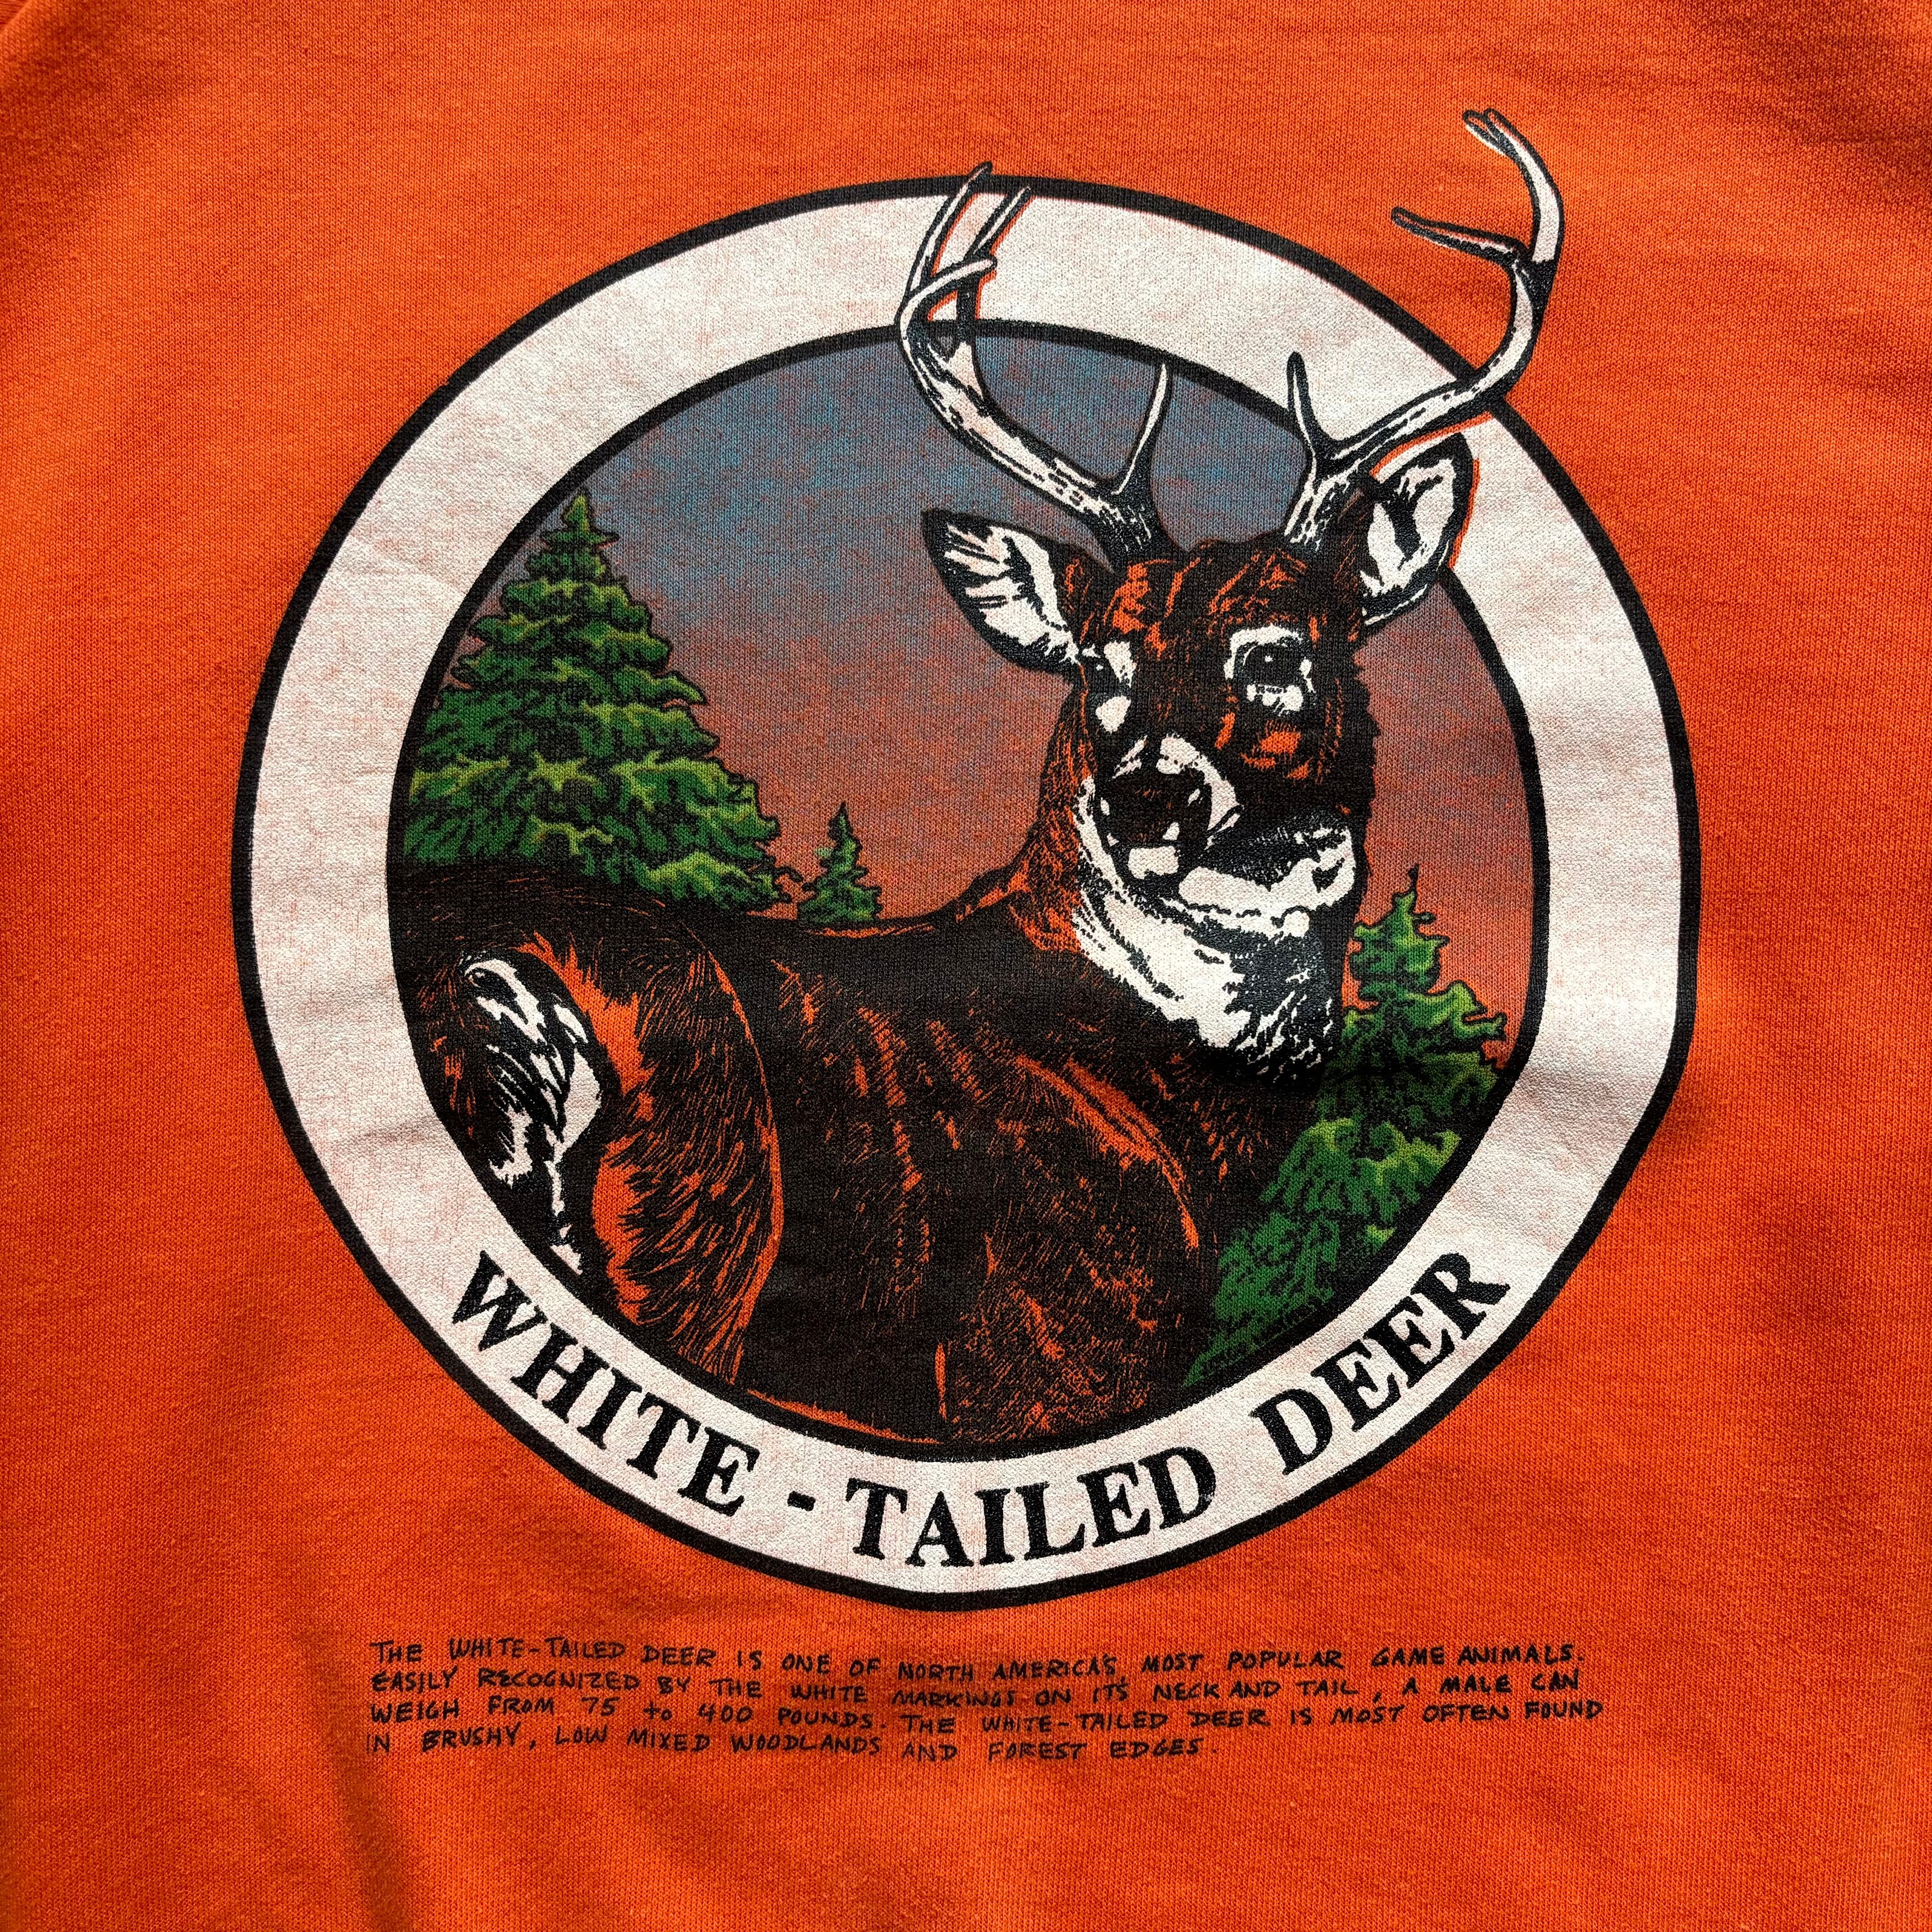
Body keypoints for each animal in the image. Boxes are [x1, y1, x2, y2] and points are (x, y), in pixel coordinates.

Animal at [393, 110, 1562, 1445]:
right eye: (1101, 658)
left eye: (1276, 654)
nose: (1145, 798)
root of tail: (477, 995)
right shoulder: (1043, 1348)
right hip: (694, 1228)